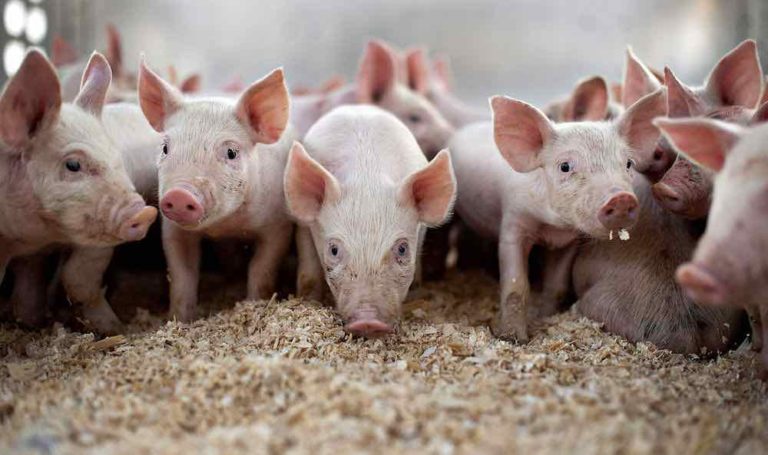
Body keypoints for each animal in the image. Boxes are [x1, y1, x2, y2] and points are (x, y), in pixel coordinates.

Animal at [138, 59, 295, 322]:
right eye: (165, 148)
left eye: (231, 152)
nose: (179, 194)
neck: (226, 226)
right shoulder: (173, 230)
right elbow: (182, 275)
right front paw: (180, 319)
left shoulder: (278, 225)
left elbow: (261, 269)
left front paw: (253, 304)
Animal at [284, 105, 456, 337]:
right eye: (334, 250)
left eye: (402, 249)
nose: (368, 321)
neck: (367, 179)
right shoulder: (304, 225)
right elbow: (308, 276)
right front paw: (309, 301)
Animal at [449, 88, 667, 342]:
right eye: (565, 166)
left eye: (629, 163)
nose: (621, 198)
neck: (552, 226)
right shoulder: (512, 223)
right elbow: (515, 285)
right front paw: (514, 338)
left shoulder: (570, 241)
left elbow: (557, 285)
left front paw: (546, 316)